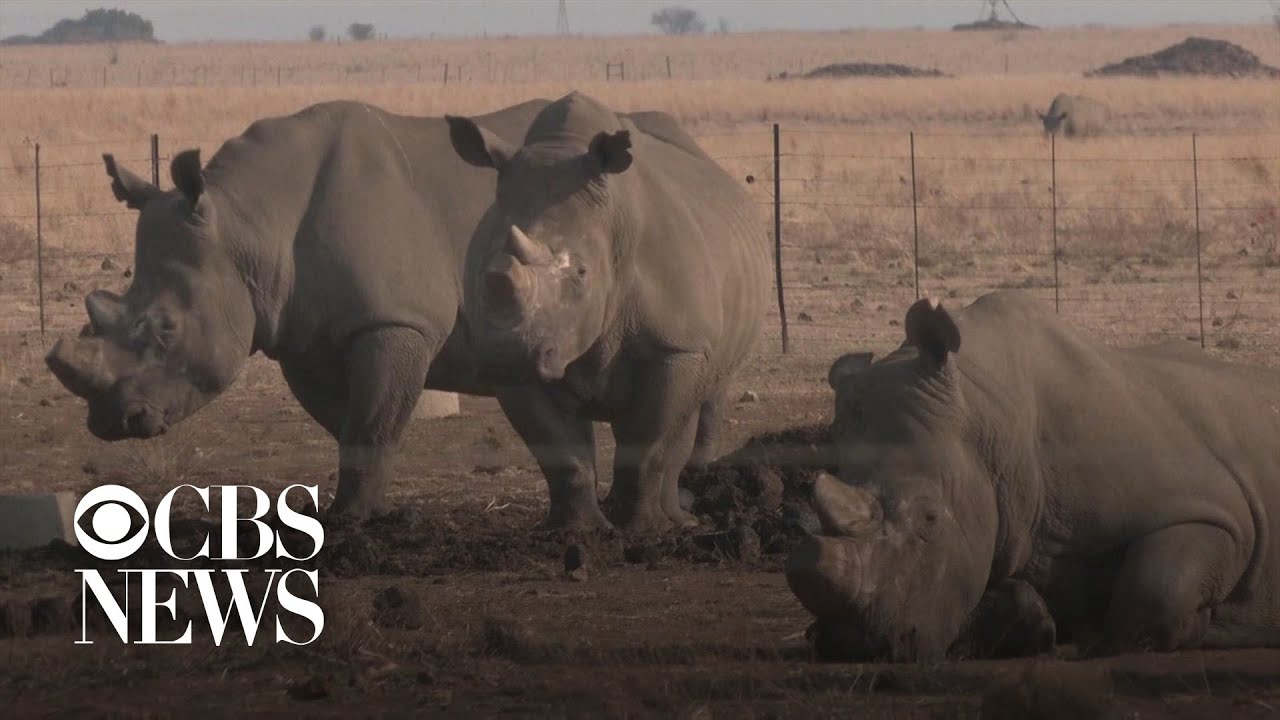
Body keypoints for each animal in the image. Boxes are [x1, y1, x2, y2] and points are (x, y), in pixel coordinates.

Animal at [45, 98, 551, 519]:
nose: (111, 420)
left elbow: (371, 425)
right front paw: (354, 513)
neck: (251, 224)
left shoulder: (395, 321)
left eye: (167, 329)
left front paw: (355, 519)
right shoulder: (303, 337)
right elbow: (347, 427)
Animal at [444, 92, 770, 532]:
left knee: (693, 404)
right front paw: (577, 530)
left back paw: (678, 521)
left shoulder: (676, 347)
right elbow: (562, 456)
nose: (508, 355)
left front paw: (643, 530)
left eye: (582, 273)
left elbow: (646, 445)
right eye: (486, 273)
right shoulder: (519, 369)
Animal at [788, 290, 1280, 661]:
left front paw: (1191, 630)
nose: (852, 645)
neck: (990, 421)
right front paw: (1040, 628)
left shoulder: (1216, 512)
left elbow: (1156, 587)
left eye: (930, 518)